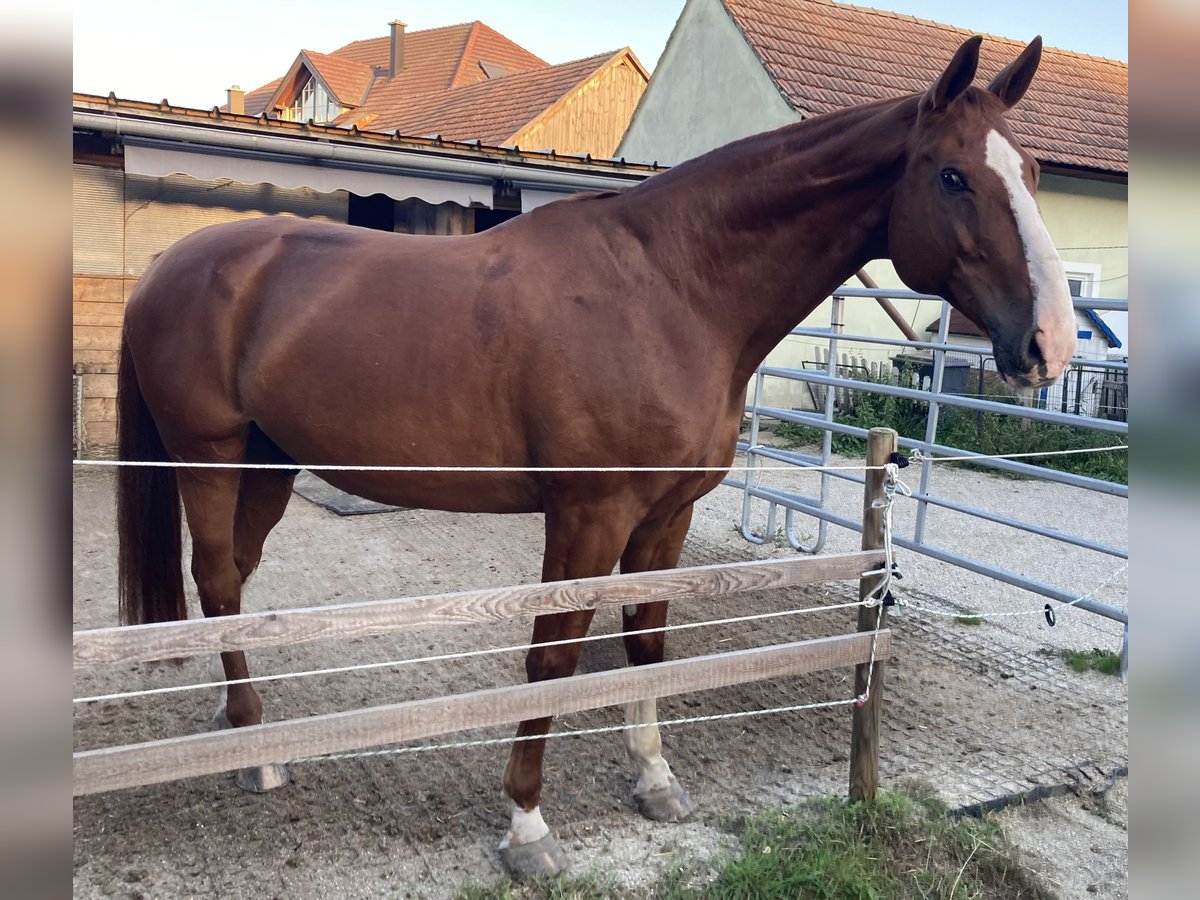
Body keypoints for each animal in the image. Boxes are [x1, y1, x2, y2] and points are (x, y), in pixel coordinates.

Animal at [117, 38, 1075, 878]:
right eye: (951, 174)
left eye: (1032, 175)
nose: (1050, 345)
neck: (671, 287)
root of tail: (171, 262)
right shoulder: (588, 515)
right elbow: (552, 660)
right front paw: (527, 827)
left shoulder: (666, 515)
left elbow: (646, 643)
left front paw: (656, 782)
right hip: (208, 457)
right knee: (219, 580)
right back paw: (255, 747)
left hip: (268, 464)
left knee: (233, 586)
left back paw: (248, 724)